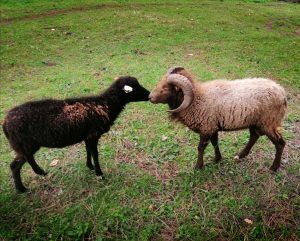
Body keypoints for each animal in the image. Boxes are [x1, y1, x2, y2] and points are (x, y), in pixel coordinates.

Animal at [2, 75, 150, 192]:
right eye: (135, 88)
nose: (149, 95)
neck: (105, 105)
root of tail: (5, 123)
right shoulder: (93, 135)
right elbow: (95, 154)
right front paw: (99, 174)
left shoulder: (87, 137)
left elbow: (88, 151)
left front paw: (90, 166)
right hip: (25, 143)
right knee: (16, 165)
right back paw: (24, 187)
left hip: (25, 145)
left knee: (24, 160)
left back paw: (36, 176)